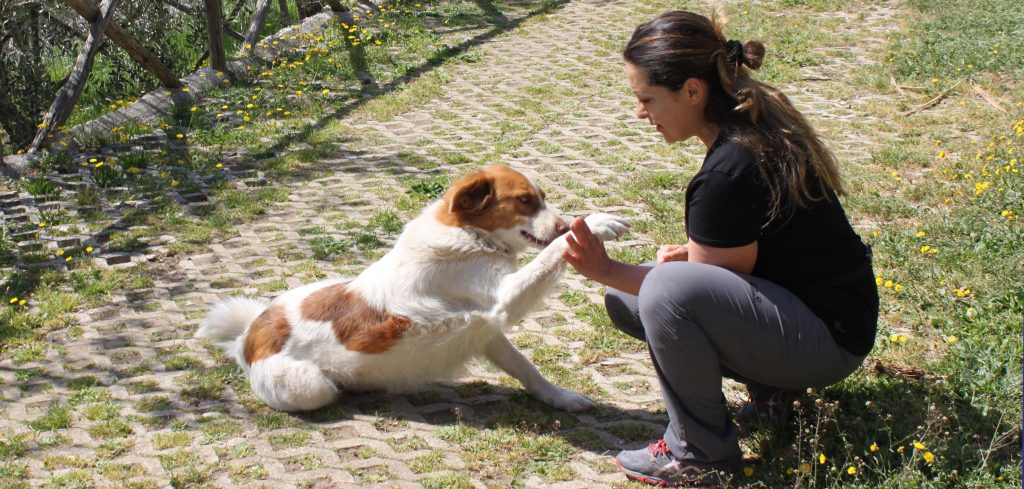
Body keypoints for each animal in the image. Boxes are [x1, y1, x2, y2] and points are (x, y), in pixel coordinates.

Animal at [191, 165, 622, 413]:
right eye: (524, 201)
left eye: (541, 198)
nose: (564, 224)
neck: (470, 236)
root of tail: (250, 334)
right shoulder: (503, 298)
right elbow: (551, 254)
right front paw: (594, 225)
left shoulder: (486, 330)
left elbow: (526, 369)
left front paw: (560, 399)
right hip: (310, 388)